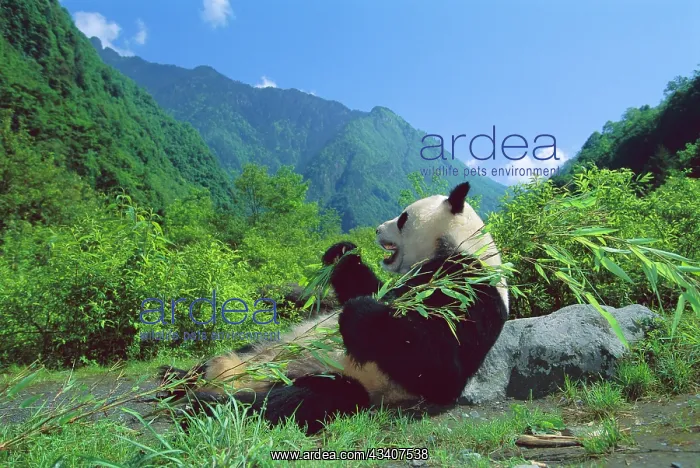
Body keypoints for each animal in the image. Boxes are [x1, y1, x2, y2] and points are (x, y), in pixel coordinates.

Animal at [159, 182, 509, 435]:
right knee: (227, 358)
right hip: (265, 345)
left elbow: (441, 367)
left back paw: (206, 405)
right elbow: (368, 286)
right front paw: (342, 252)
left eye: (402, 218)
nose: (376, 230)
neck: (459, 245)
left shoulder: (472, 289)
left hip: (335, 377)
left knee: (299, 400)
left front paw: (360, 314)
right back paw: (175, 378)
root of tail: (235, 375)